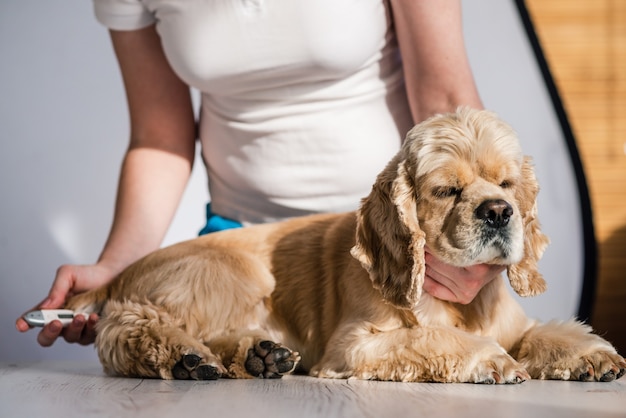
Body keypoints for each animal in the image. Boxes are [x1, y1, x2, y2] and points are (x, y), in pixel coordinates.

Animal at [66, 107, 620, 382]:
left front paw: (591, 355)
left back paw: (260, 357)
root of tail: (120, 272)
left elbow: (544, 334)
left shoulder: (513, 326)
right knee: (130, 327)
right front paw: (491, 361)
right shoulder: (354, 346)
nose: (499, 212)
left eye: (507, 185)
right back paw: (186, 358)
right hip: (230, 276)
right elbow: (430, 338)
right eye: (446, 190)